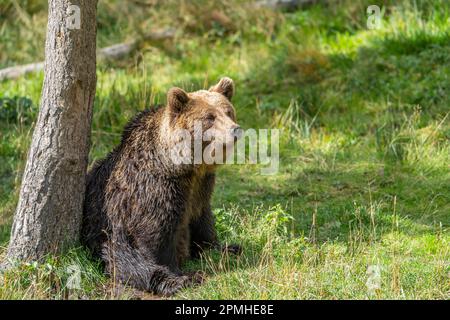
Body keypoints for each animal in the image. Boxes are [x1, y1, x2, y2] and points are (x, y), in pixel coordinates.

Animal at [82, 77, 241, 296]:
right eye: (210, 117)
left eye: (228, 111)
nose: (235, 129)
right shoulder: (155, 189)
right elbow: (155, 237)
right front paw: (178, 274)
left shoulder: (201, 187)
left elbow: (202, 219)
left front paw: (224, 247)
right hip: (106, 233)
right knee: (126, 262)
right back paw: (179, 280)